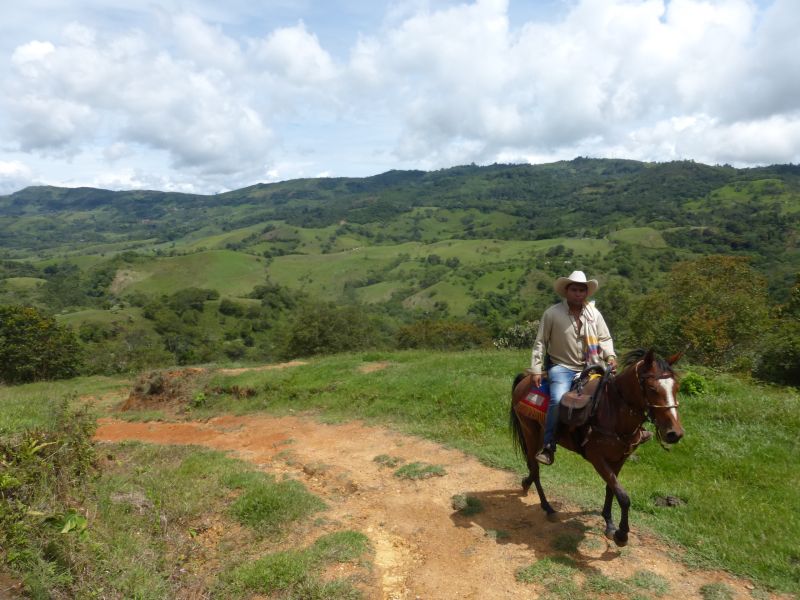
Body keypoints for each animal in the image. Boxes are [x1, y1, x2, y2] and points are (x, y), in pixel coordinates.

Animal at [510, 346, 684, 548]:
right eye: (652, 388)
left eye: (676, 388)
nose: (675, 433)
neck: (613, 410)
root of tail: (527, 378)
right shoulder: (597, 458)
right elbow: (623, 496)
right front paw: (621, 534)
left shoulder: (620, 458)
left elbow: (611, 488)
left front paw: (609, 523)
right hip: (529, 431)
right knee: (535, 468)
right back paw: (547, 507)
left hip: (538, 435)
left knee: (532, 465)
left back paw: (526, 483)